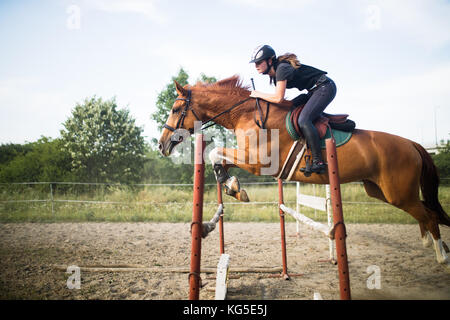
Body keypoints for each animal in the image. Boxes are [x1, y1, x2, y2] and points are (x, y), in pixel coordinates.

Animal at [158, 74, 450, 268]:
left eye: (175, 109)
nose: (162, 145)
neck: (246, 114)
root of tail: (412, 144)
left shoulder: (258, 162)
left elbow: (215, 153)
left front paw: (235, 188)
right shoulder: (247, 158)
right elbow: (218, 159)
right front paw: (233, 187)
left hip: (397, 193)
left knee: (429, 214)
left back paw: (441, 254)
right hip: (380, 191)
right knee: (426, 211)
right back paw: (433, 244)